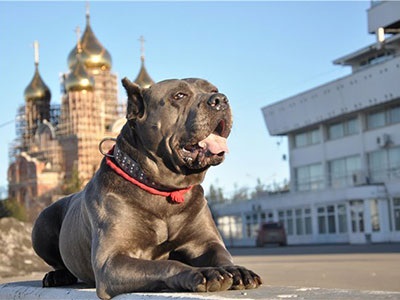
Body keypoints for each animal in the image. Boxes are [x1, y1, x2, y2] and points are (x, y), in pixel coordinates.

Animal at [32, 78, 262, 300]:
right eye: (179, 95)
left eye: (213, 89)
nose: (220, 99)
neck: (165, 190)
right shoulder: (111, 261)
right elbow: (166, 264)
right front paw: (203, 272)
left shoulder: (206, 243)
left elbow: (221, 254)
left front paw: (237, 270)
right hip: (41, 223)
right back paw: (57, 276)